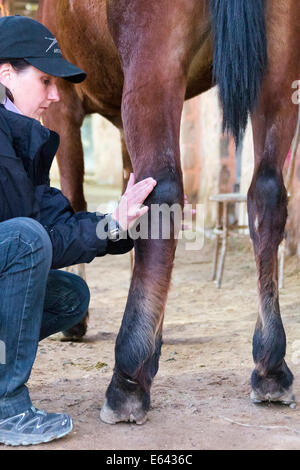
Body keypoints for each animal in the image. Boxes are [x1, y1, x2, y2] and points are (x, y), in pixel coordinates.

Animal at [38, 0, 300, 426]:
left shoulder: (61, 100)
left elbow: (74, 198)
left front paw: (81, 323)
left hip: (154, 56)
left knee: (162, 191)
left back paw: (127, 380)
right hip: (280, 61)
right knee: (267, 192)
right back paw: (270, 366)